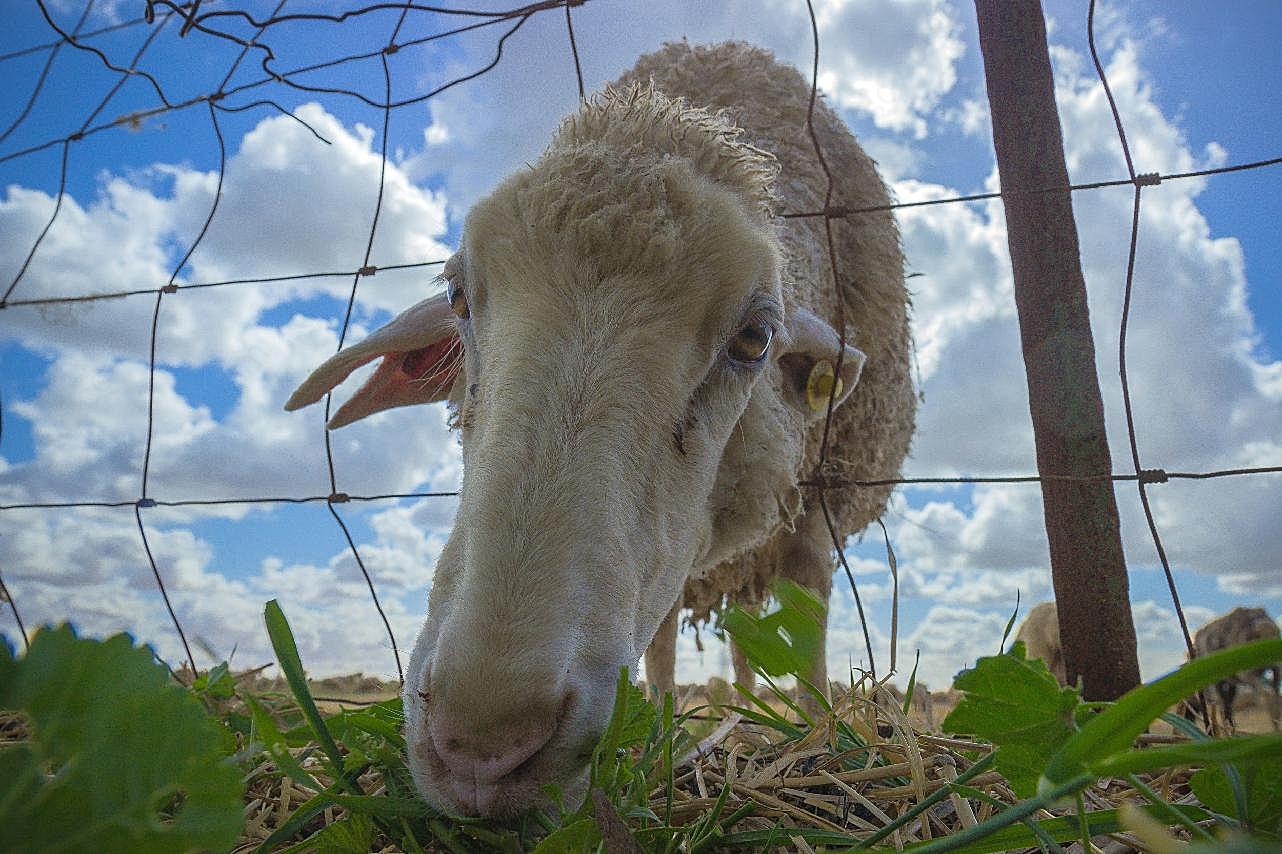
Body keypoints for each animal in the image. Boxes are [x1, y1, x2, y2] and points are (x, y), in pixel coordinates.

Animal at [287, 41, 917, 820]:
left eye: (755, 338)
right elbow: (664, 645)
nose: (480, 744)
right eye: (457, 295)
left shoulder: (817, 509)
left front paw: (822, 738)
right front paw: (664, 742)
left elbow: (812, 626)